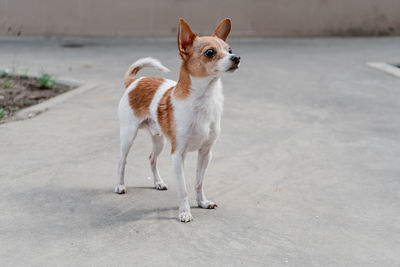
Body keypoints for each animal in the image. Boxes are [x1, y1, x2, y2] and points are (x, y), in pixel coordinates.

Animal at [115, 17, 241, 223]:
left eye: (229, 50)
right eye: (210, 52)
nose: (236, 58)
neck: (203, 100)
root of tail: (134, 81)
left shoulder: (205, 153)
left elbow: (199, 182)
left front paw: (202, 202)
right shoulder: (177, 155)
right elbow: (183, 189)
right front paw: (184, 212)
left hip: (159, 140)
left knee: (151, 158)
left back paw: (158, 182)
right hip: (128, 136)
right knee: (121, 161)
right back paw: (119, 185)